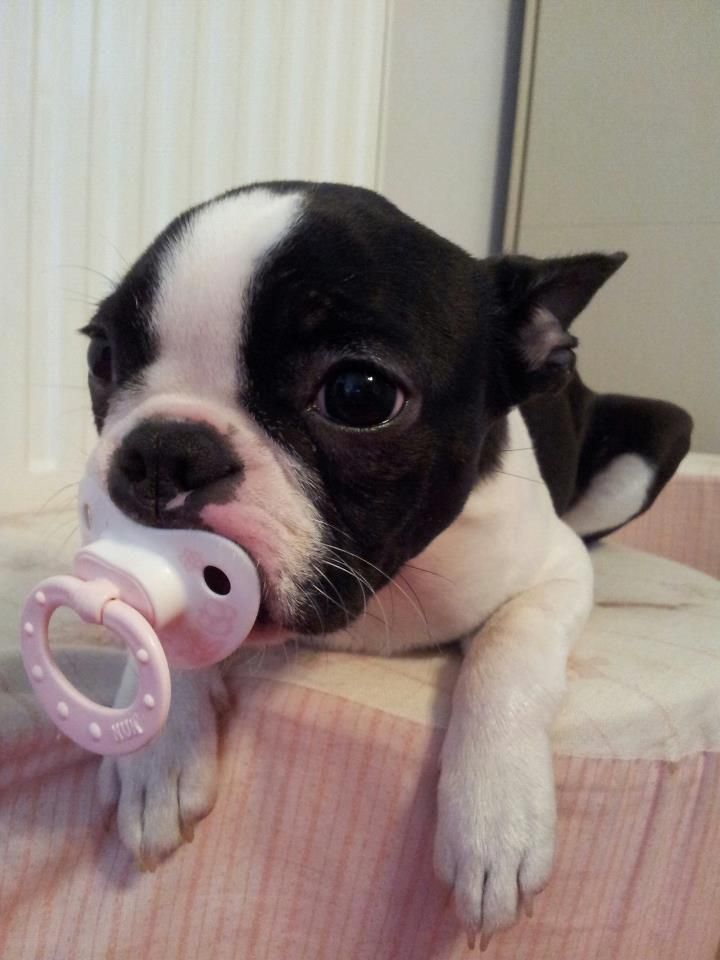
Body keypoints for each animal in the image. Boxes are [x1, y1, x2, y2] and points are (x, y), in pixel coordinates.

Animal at [84, 182, 692, 944]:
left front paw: (495, 819)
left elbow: (506, 656)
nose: (165, 450)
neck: (381, 590)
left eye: (359, 394)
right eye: (101, 357)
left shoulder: (555, 570)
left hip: (658, 438)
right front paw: (160, 753)